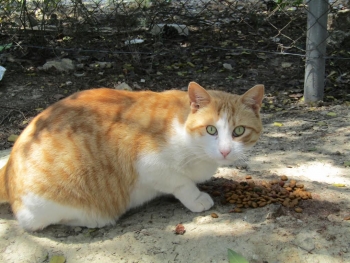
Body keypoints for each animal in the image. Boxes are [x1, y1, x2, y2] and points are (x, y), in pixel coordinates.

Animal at [0, 82, 264, 231]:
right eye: (211, 130)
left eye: (238, 131)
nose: (225, 150)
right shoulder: (148, 163)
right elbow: (181, 182)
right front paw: (196, 197)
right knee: (33, 222)